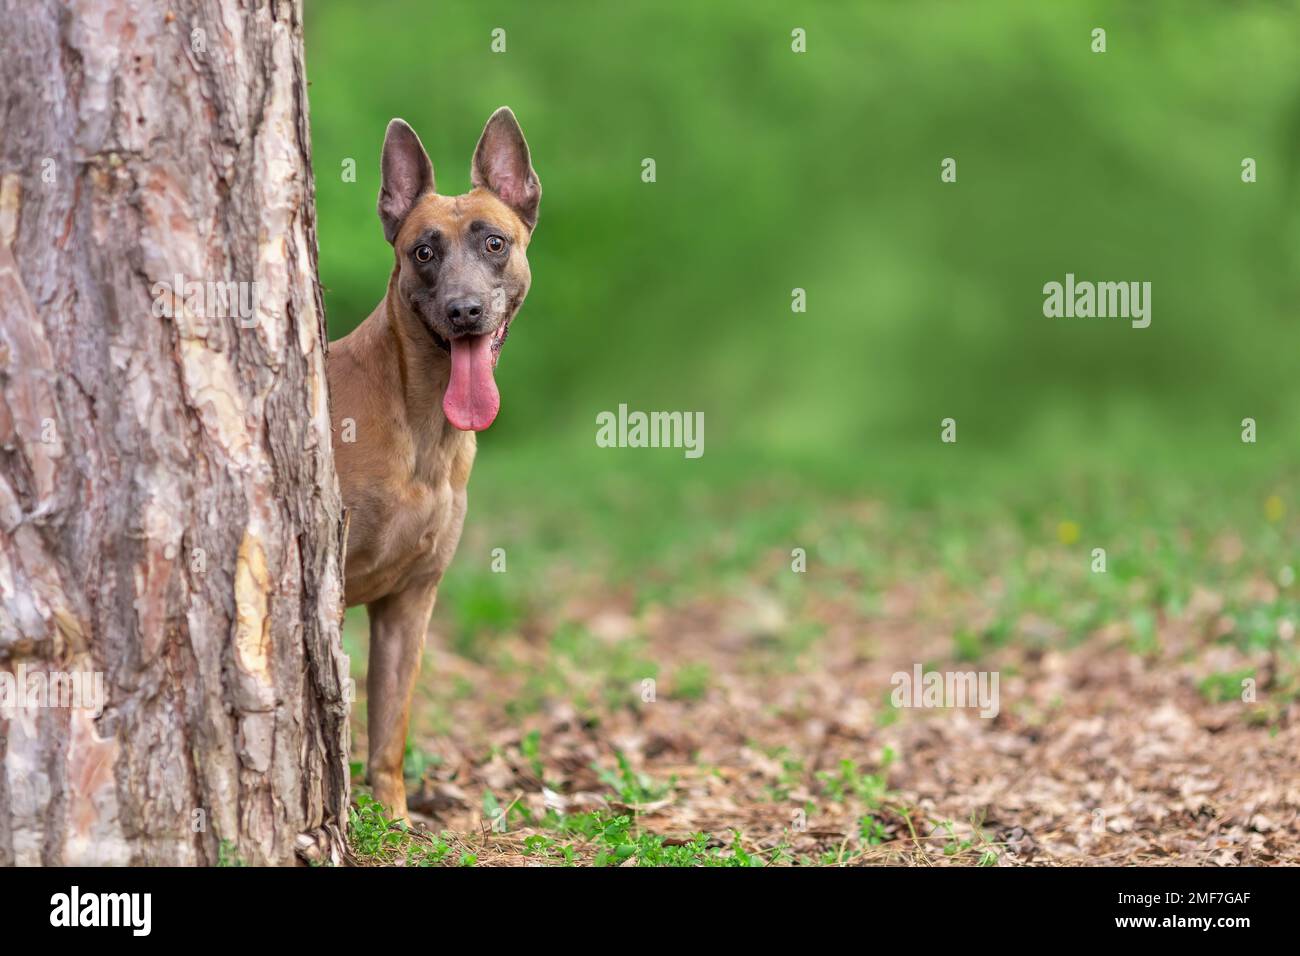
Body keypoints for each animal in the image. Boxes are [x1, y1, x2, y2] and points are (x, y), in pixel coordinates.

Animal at [332, 108, 540, 816]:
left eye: (495, 244)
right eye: (422, 252)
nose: (465, 311)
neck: (424, 427)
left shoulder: (410, 601)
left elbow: (388, 734)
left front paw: (393, 819)